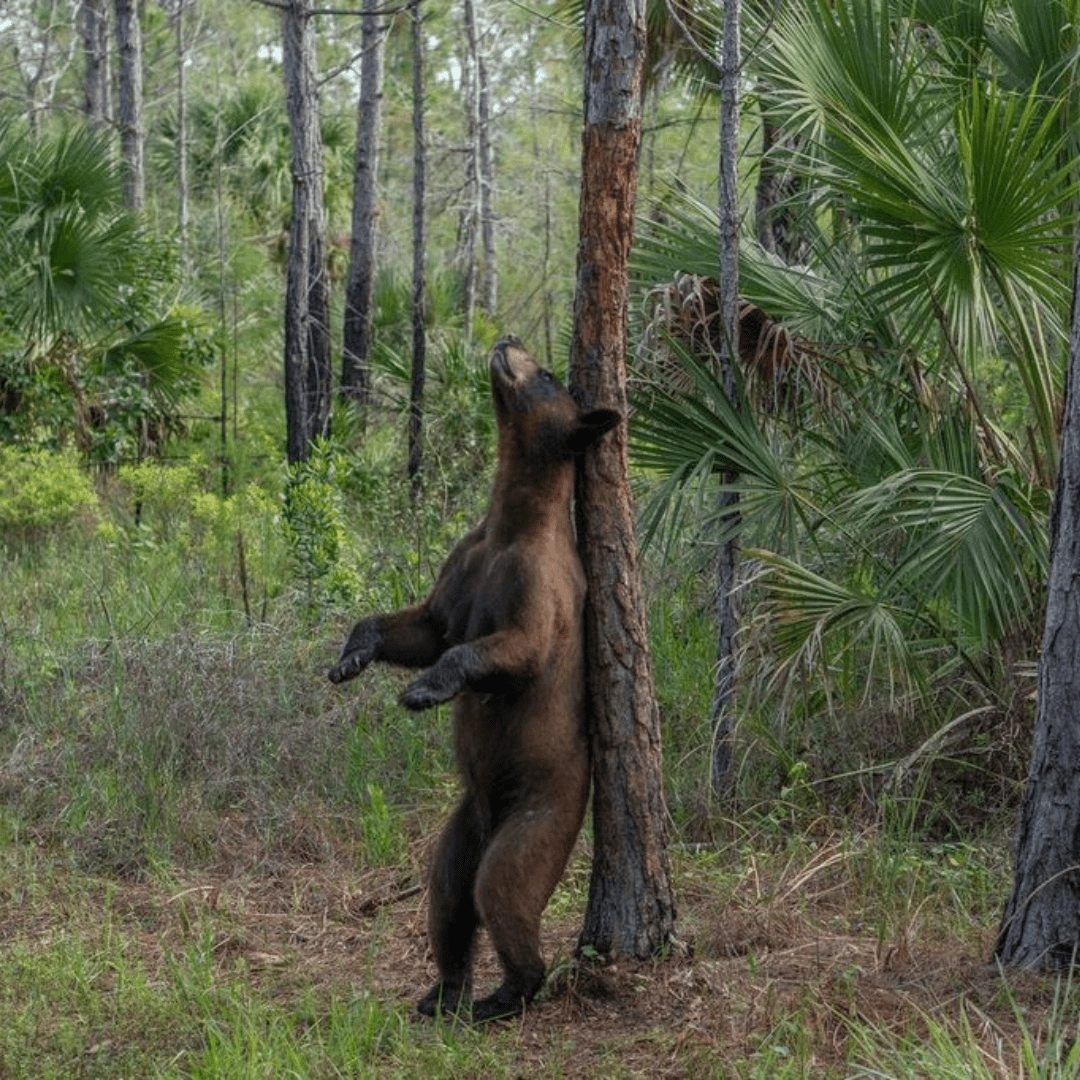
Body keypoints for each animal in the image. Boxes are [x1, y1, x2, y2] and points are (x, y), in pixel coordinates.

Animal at [328, 335, 619, 1022]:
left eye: (546, 374)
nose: (508, 340)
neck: (510, 519)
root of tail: (491, 819)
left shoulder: (539, 584)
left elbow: (508, 650)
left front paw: (423, 690)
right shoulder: (467, 564)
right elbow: (425, 626)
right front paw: (349, 658)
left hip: (542, 813)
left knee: (502, 891)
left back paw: (506, 993)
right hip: (462, 825)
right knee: (447, 896)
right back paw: (443, 991)